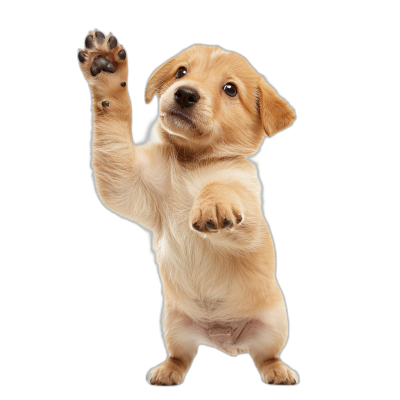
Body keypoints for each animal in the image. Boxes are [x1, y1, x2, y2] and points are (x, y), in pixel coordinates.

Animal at [78, 31, 300, 388]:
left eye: (230, 89)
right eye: (181, 72)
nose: (184, 93)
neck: (192, 162)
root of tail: (225, 341)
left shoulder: (250, 211)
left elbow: (223, 186)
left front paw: (213, 203)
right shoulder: (127, 183)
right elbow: (114, 128)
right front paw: (108, 72)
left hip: (274, 326)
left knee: (266, 355)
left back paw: (278, 371)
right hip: (174, 327)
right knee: (181, 355)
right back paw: (168, 371)